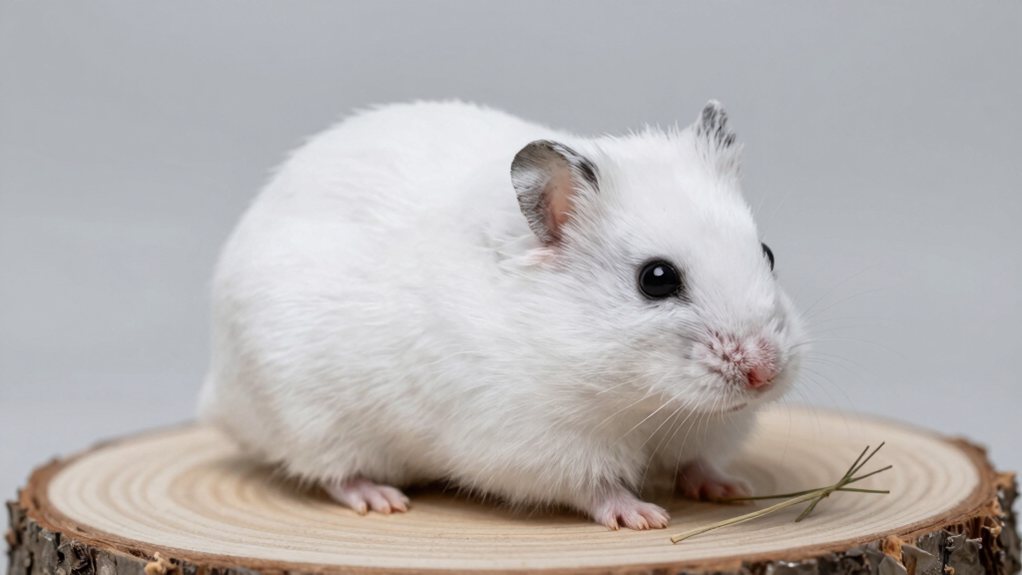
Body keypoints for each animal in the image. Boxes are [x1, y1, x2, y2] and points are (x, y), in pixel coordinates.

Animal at [199, 100, 805, 530]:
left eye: (768, 253)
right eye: (656, 279)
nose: (765, 374)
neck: (644, 402)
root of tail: (218, 394)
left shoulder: (702, 431)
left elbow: (697, 462)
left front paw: (731, 489)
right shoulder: (539, 443)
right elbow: (595, 488)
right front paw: (645, 517)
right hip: (314, 421)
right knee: (333, 473)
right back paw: (382, 500)